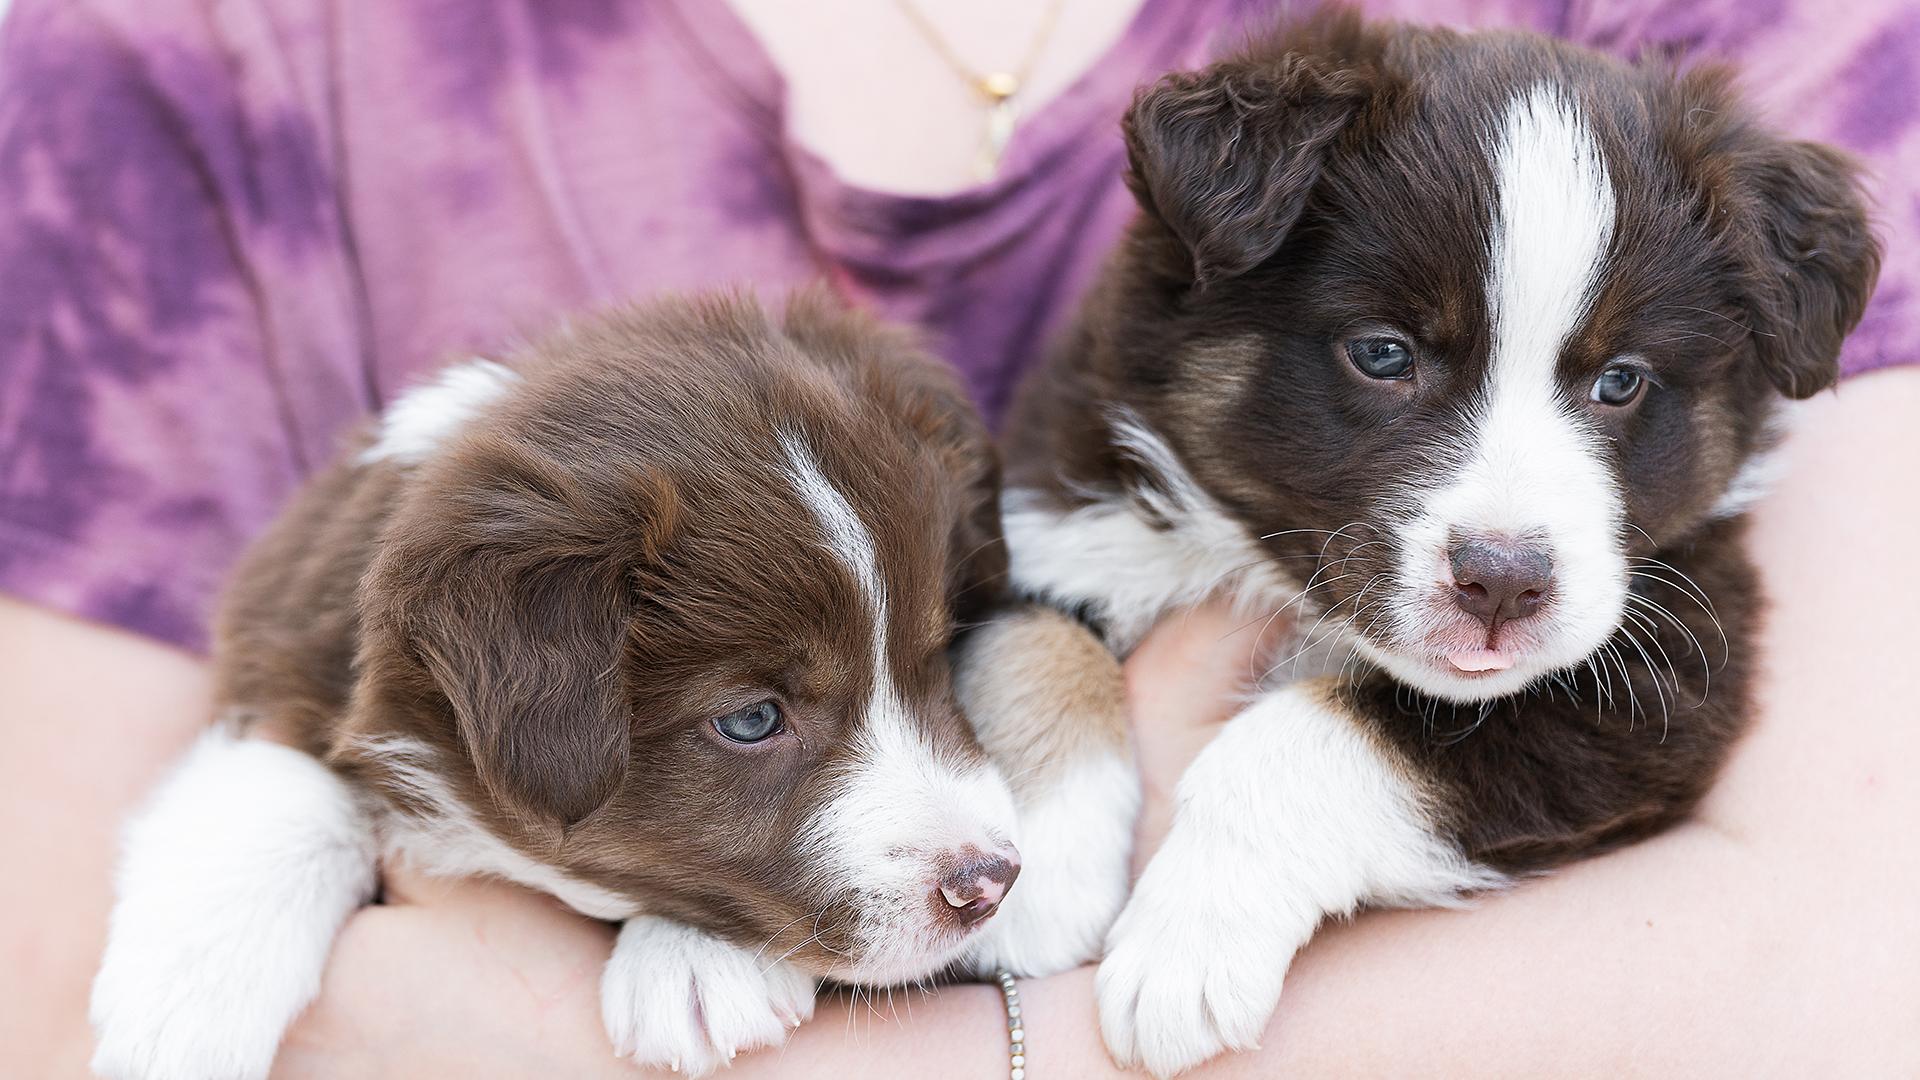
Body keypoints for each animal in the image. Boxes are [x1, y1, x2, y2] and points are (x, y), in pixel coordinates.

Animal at [89, 292, 1134, 1079]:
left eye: (935, 657)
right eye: (752, 719)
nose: (988, 882)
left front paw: (698, 969)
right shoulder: (284, 653)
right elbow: (278, 782)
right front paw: (178, 1009)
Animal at [996, 9, 1880, 1076]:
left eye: (1621, 381)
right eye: (1384, 353)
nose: (1503, 584)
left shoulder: (1663, 686)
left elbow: (1317, 731)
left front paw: (1186, 950)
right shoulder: (1053, 507)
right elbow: (1036, 639)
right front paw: (1043, 874)